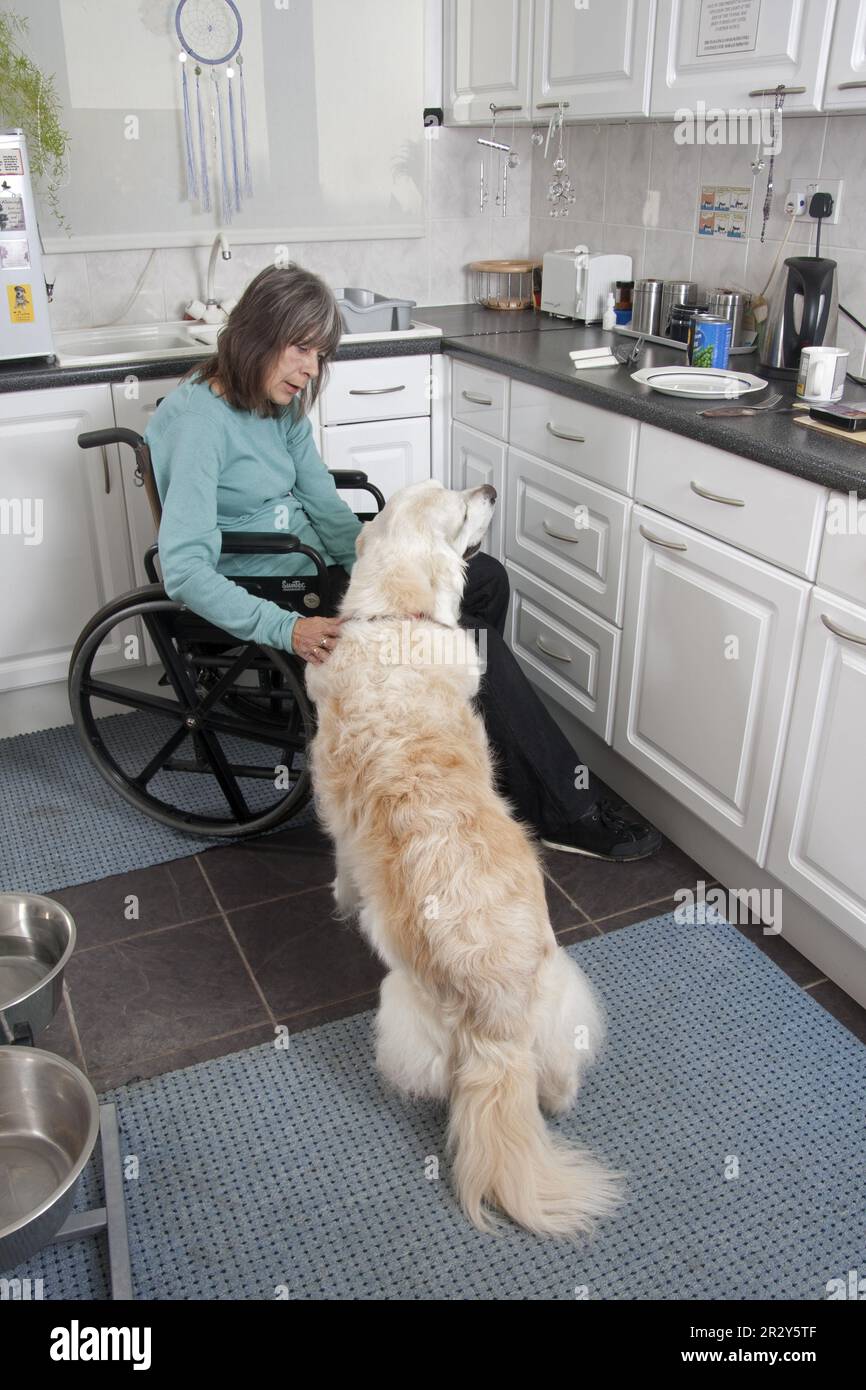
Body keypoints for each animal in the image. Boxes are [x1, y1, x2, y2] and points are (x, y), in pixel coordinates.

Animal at [304, 480, 622, 1239]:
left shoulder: (331, 807)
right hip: (553, 996)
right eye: (454, 505)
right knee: (558, 1083)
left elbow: (342, 868)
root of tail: (495, 1018)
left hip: (402, 1010)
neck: (399, 614)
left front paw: (341, 903)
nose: (490, 486)